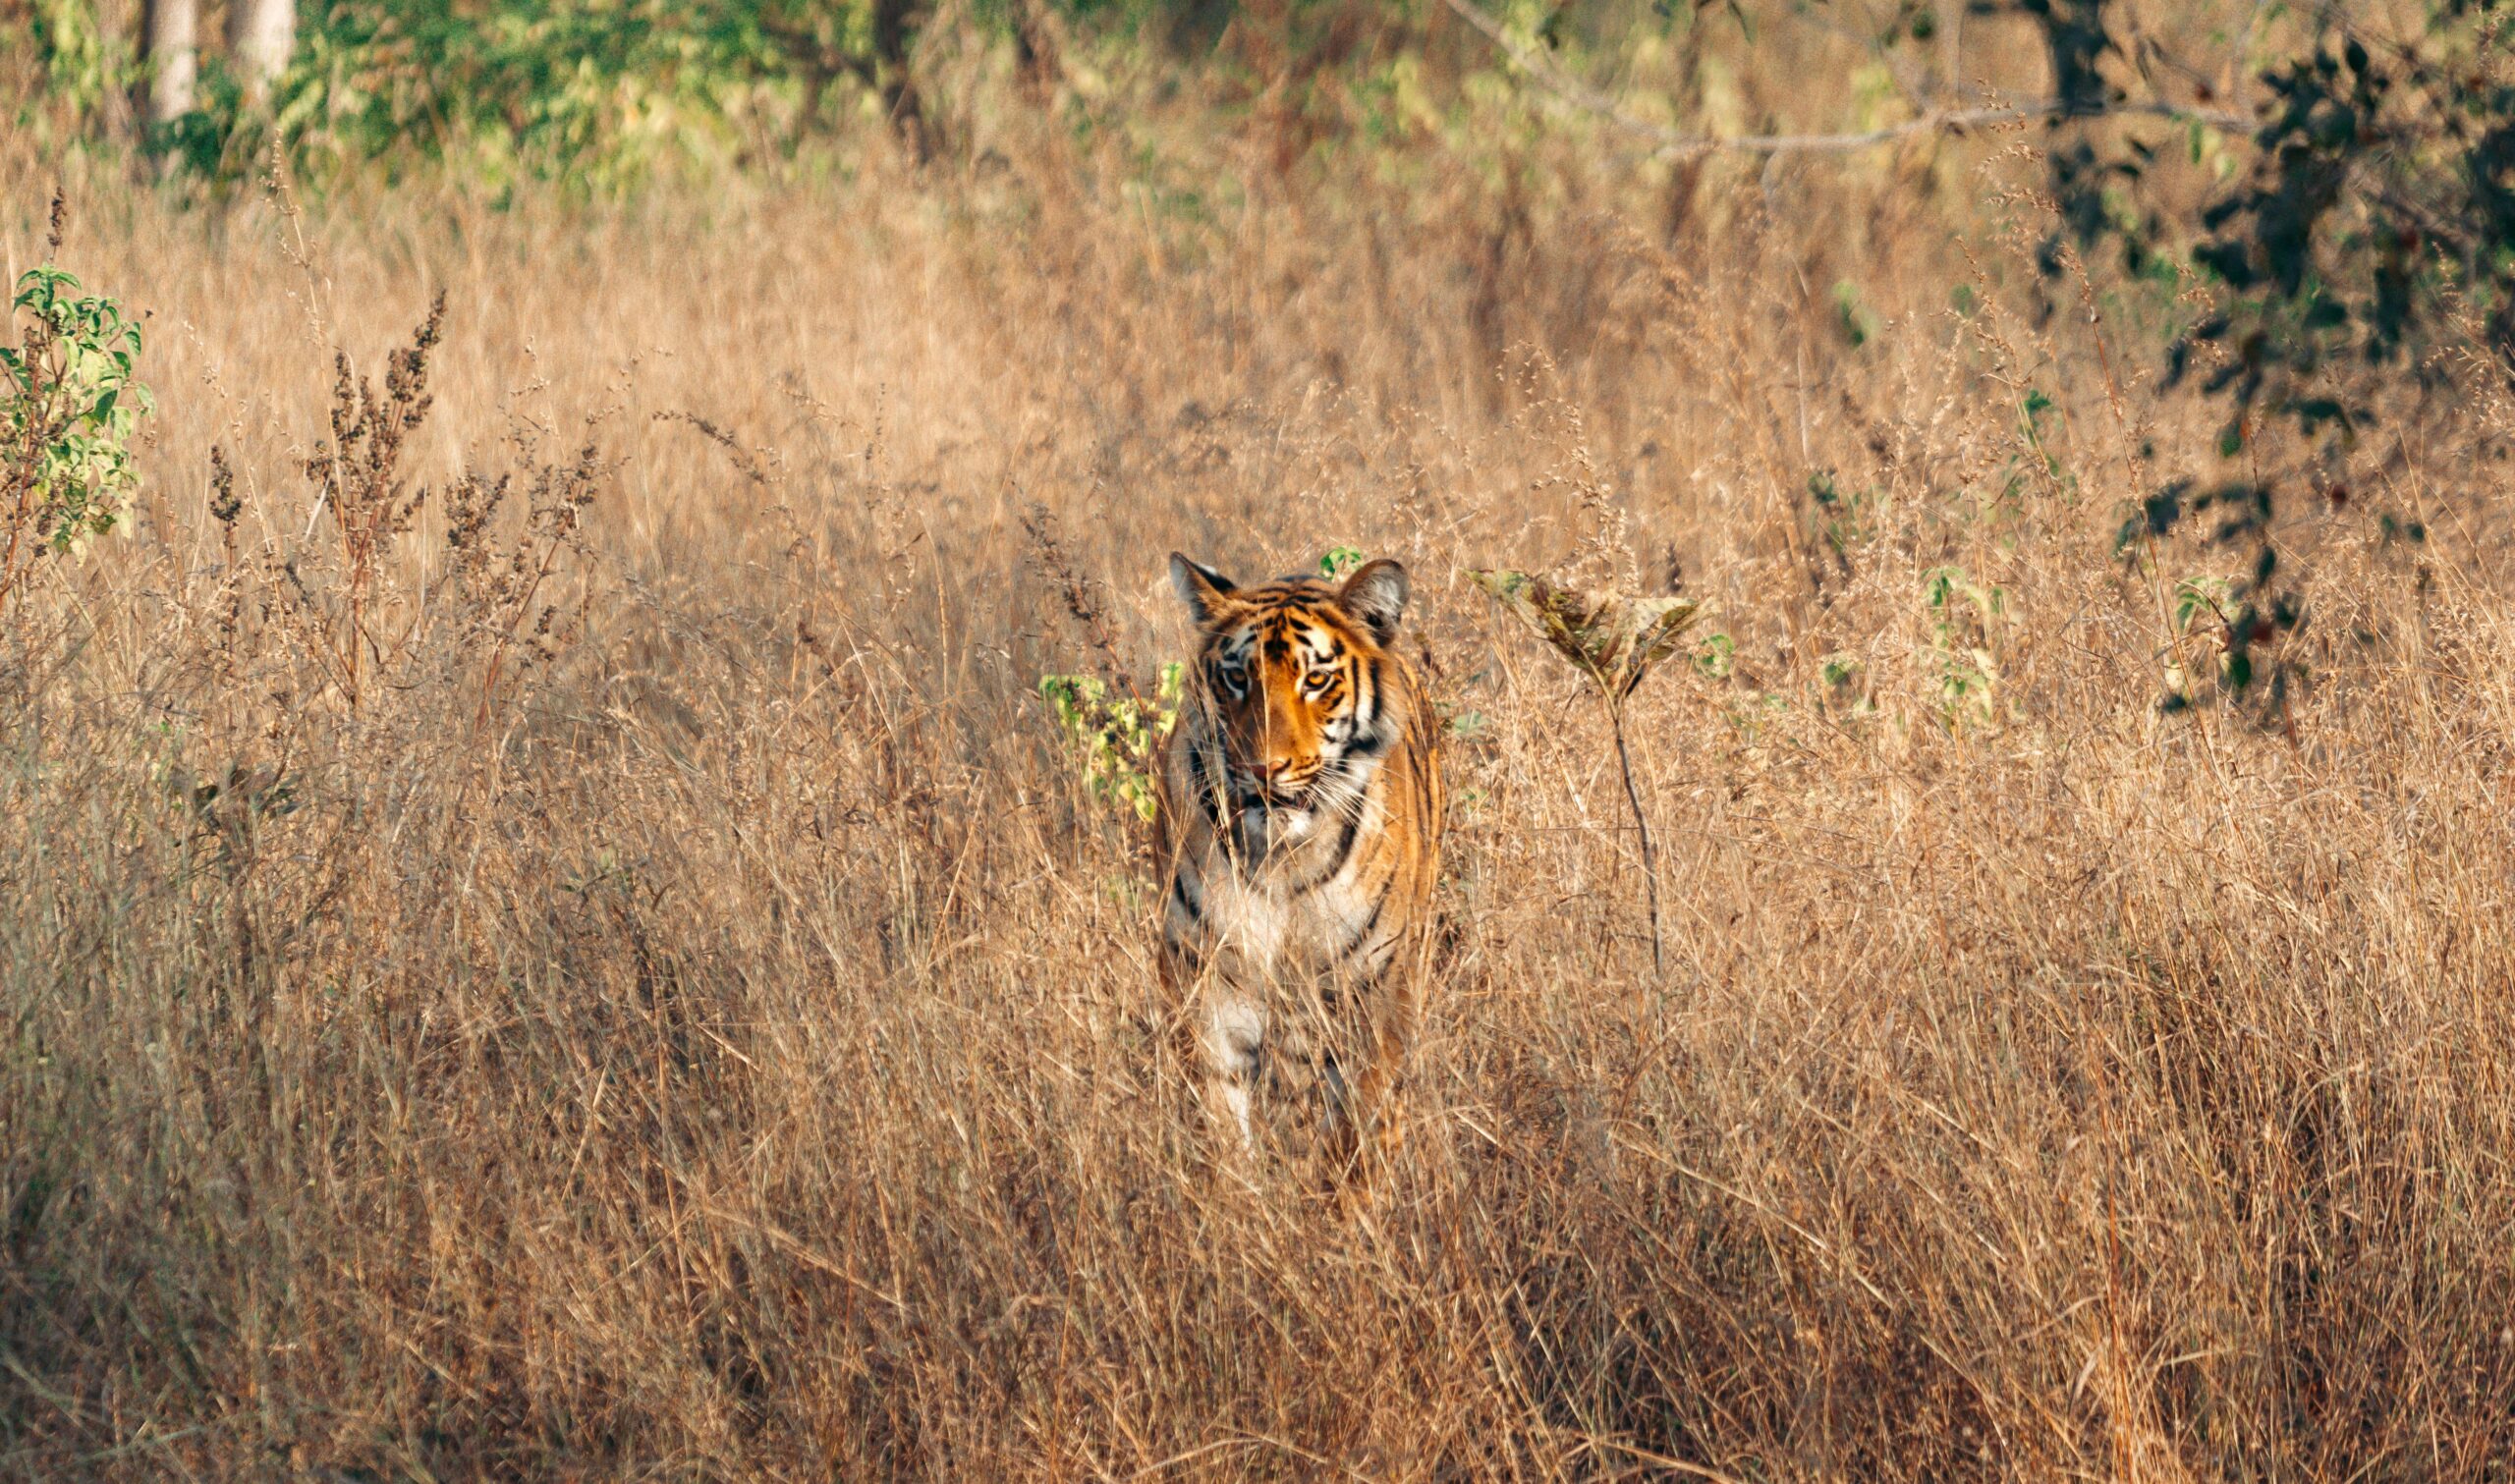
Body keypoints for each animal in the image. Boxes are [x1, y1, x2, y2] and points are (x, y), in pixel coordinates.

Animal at [1155, 552, 1445, 1185]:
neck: (1282, 862)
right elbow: (1222, 1147)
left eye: (1315, 681)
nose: (1264, 769)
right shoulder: (1208, 1003)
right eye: (1237, 678)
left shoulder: (1374, 1009)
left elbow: (1355, 1150)